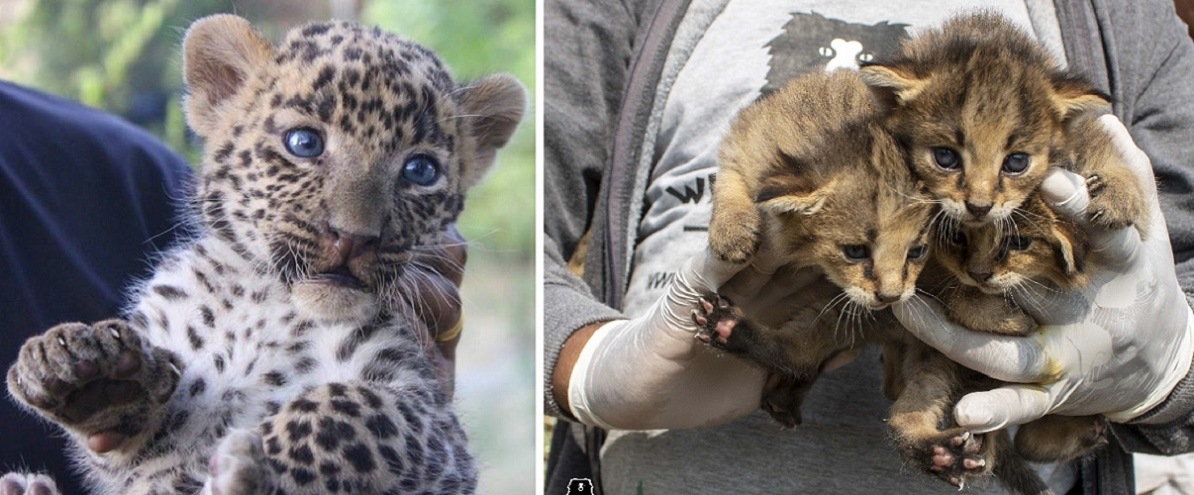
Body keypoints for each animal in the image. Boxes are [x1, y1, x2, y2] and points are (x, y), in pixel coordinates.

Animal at [3, 14, 524, 495]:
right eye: (304, 143)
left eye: (421, 170)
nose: (354, 237)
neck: (264, 302)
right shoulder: (145, 452)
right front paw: (89, 370)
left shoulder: (437, 434)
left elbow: (343, 407)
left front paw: (240, 466)